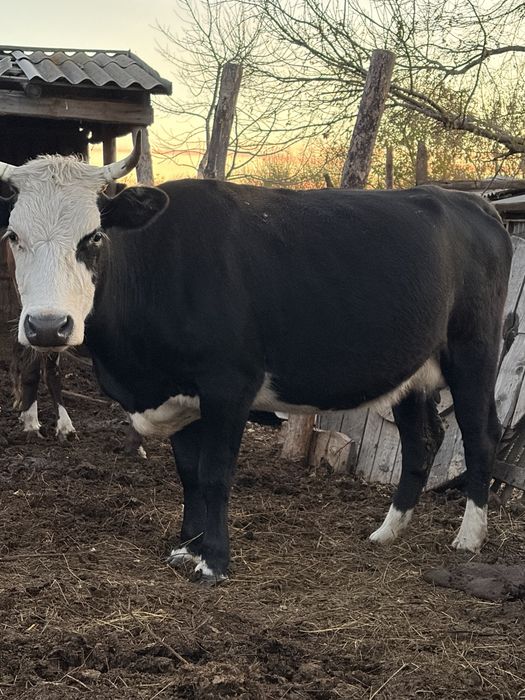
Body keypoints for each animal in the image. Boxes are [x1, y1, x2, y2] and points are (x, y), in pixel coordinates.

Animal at [0, 135, 512, 584]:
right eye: (13, 236)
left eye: (94, 237)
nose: (47, 326)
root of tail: (473, 203)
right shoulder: (180, 392)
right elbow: (189, 473)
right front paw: (188, 547)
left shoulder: (230, 385)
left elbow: (215, 473)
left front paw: (214, 561)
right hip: (412, 370)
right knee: (422, 438)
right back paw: (388, 531)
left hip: (474, 352)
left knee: (480, 434)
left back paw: (469, 538)